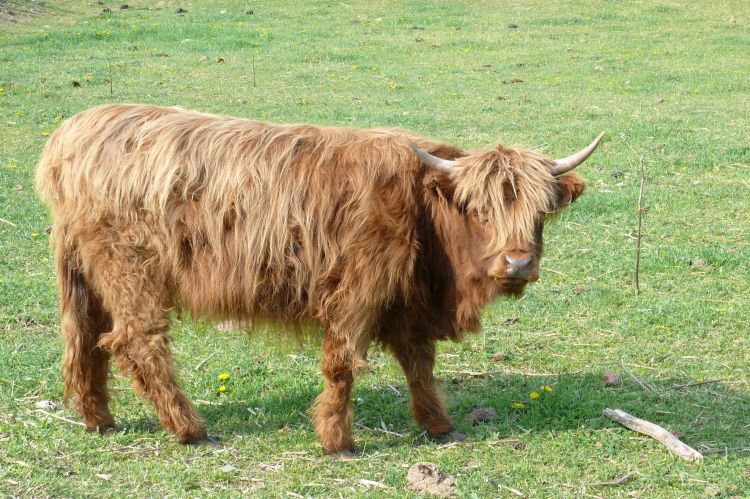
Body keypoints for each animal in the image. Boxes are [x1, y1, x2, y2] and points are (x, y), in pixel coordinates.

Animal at [36, 105, 604, 458]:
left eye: (540, 212)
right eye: (481, 210)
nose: (518, 263)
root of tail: (76, 130)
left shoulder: (407, 302)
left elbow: (419, 365)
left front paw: (439, 426)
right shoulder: (358, 291)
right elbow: (342, 365)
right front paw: (337, 441)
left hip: (87, 275)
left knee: (84, 339)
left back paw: (98, 419)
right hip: (131, 269)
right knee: (137, 342)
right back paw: (190, 429)